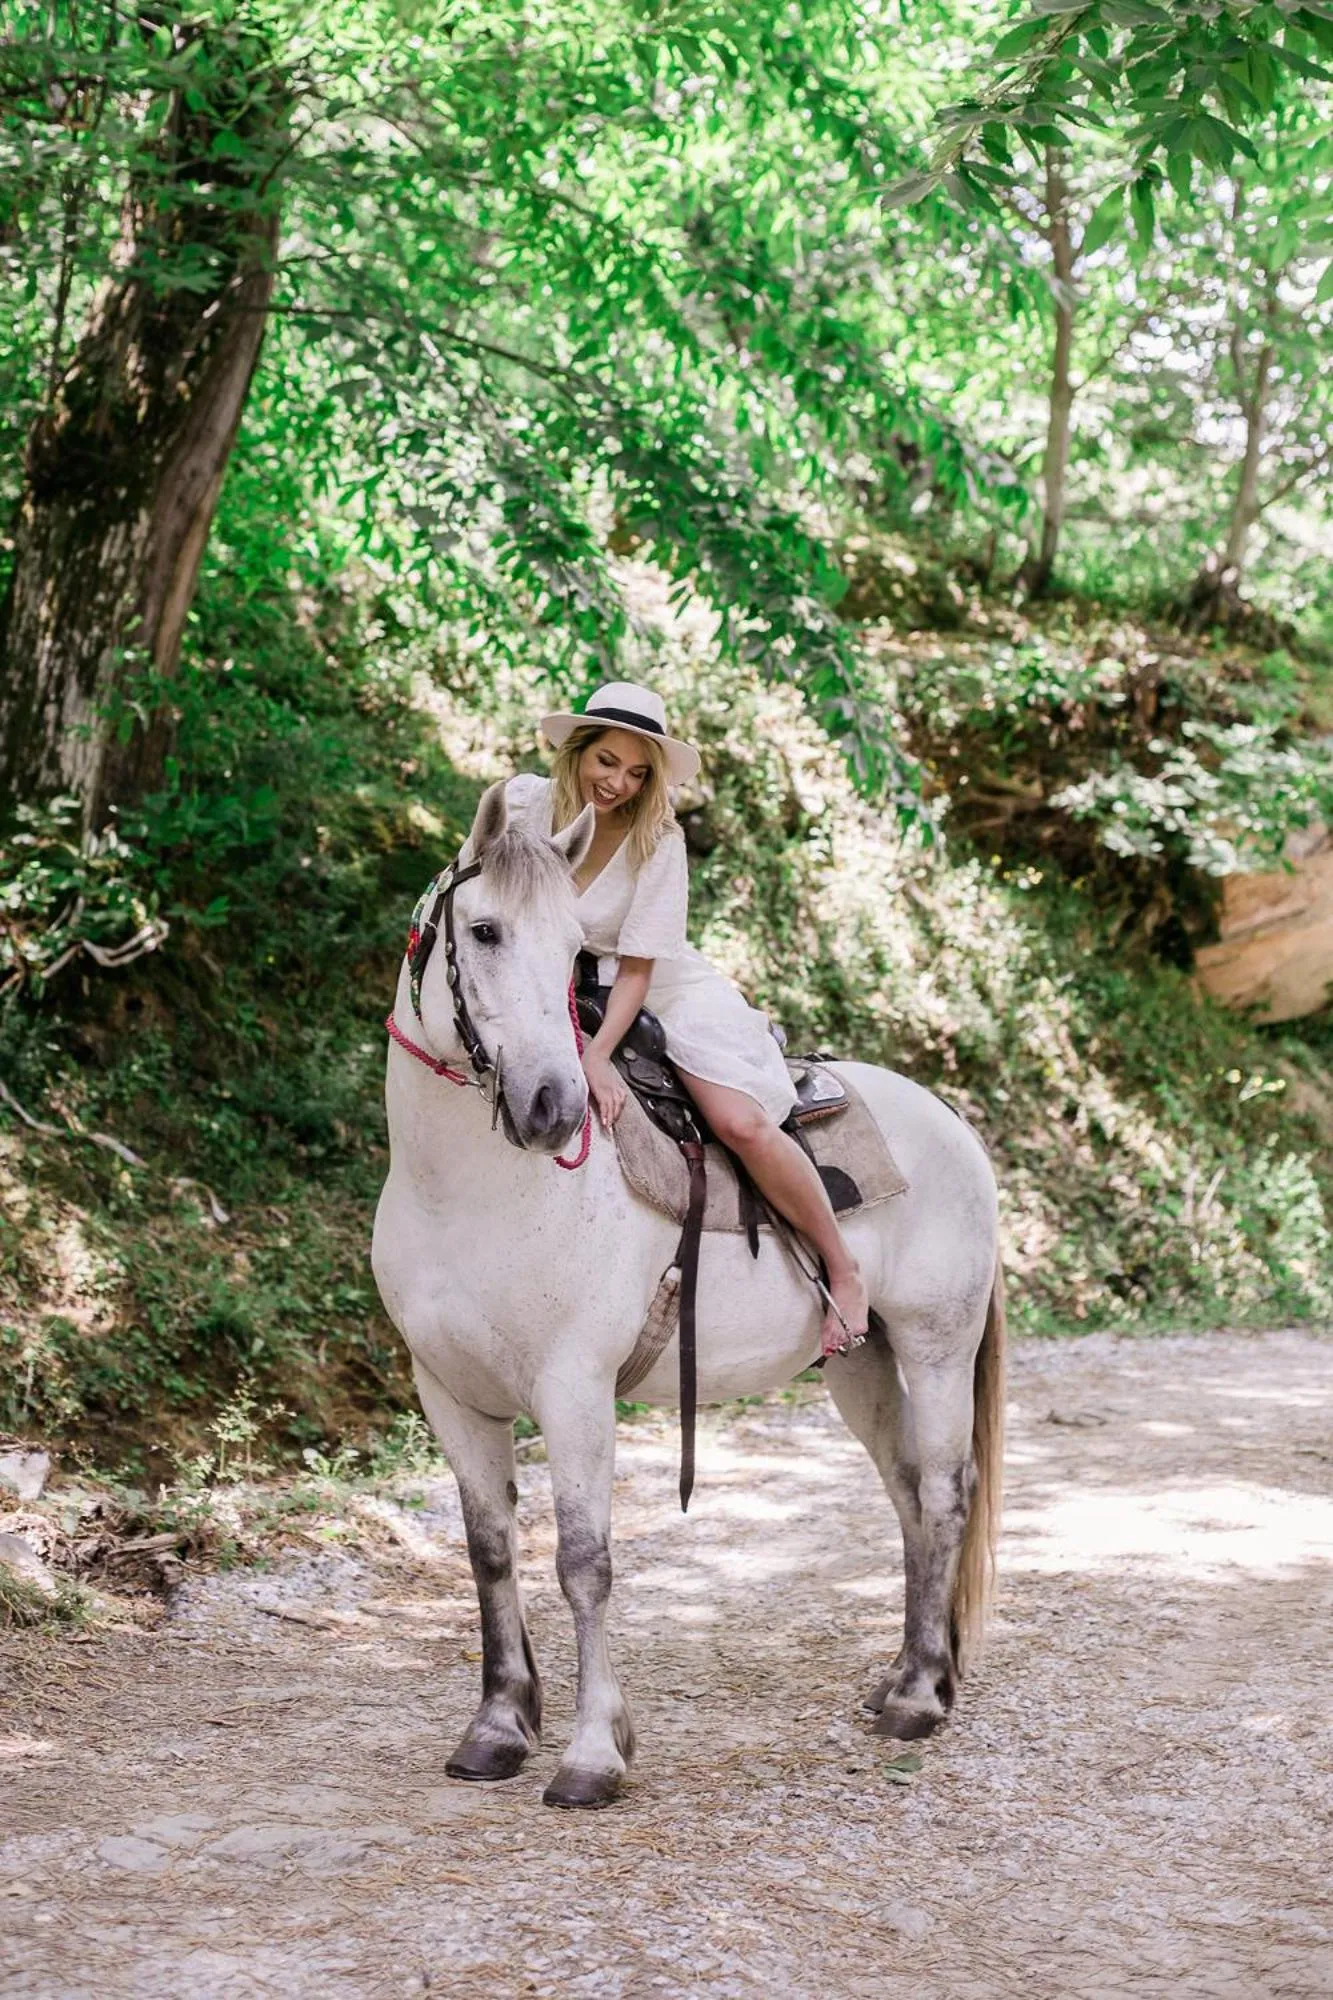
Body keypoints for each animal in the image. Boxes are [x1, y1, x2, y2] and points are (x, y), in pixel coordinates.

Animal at [372, 780, 1005, 1809]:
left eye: (571, 949)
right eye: (485, 930)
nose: (553, 1107)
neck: (464, 1195)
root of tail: (951, 1121)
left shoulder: (574, 1391)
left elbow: (582, 1562)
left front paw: (594, 1753)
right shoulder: (449, 1393)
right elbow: (490, 1551)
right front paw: (498, 1728)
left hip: (935, 1348)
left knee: (946, 1495)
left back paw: (917, 1702)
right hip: (859, 1363)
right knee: (908, 1492)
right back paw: (910, 1676)